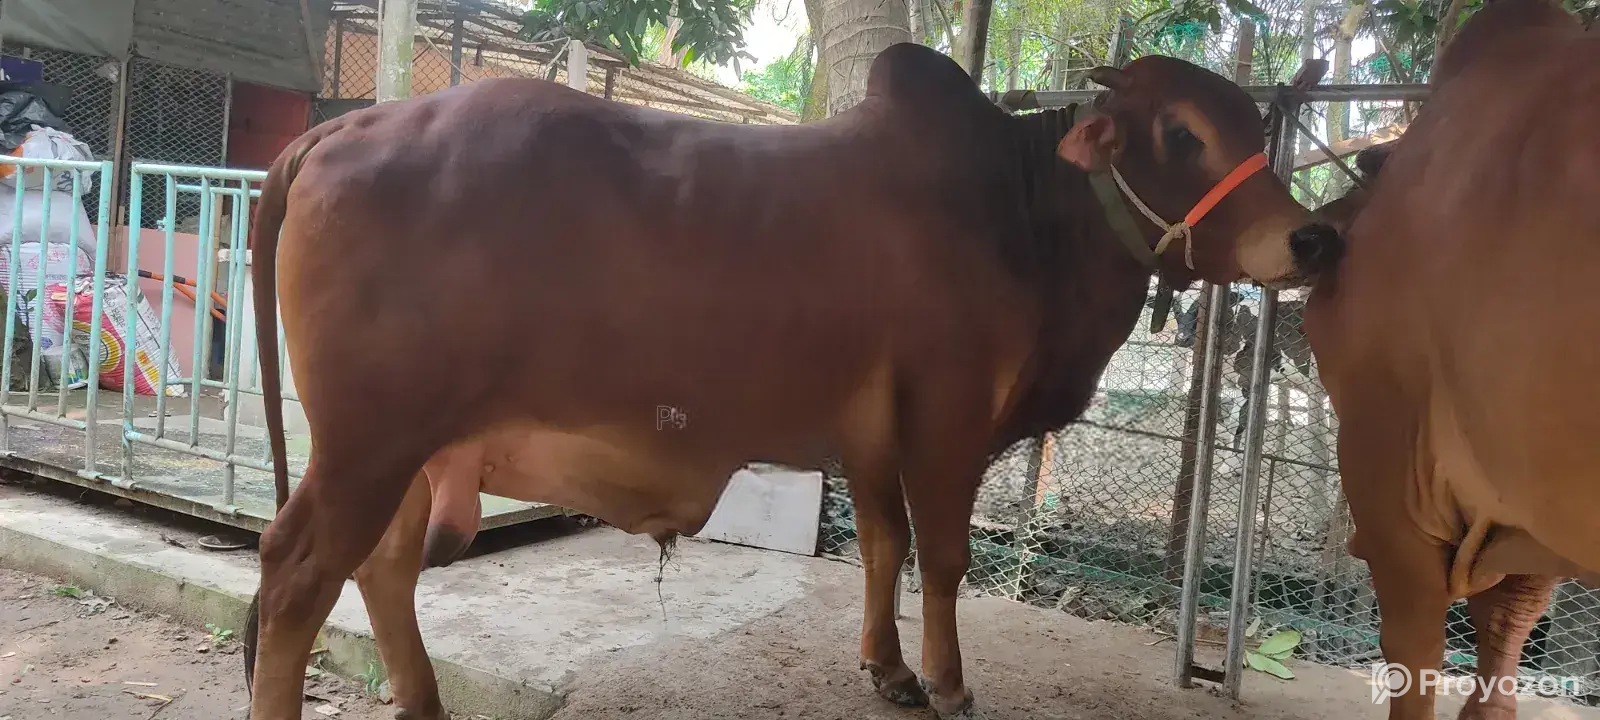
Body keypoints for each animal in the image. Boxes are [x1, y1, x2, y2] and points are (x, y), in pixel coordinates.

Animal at [240, 42, 1328, 720]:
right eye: (1182, 132)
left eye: (1253, 126)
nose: (1309, 236)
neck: (1023, 213)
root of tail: (341, 131)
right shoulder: (946, 421)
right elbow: (943, 558)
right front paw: (947, 684)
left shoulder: (872, 439)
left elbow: (885, 548)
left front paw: (887, 670)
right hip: (367, 444)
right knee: (297, 577)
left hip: (405, 450)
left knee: (381, 567)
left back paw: (423, 700)